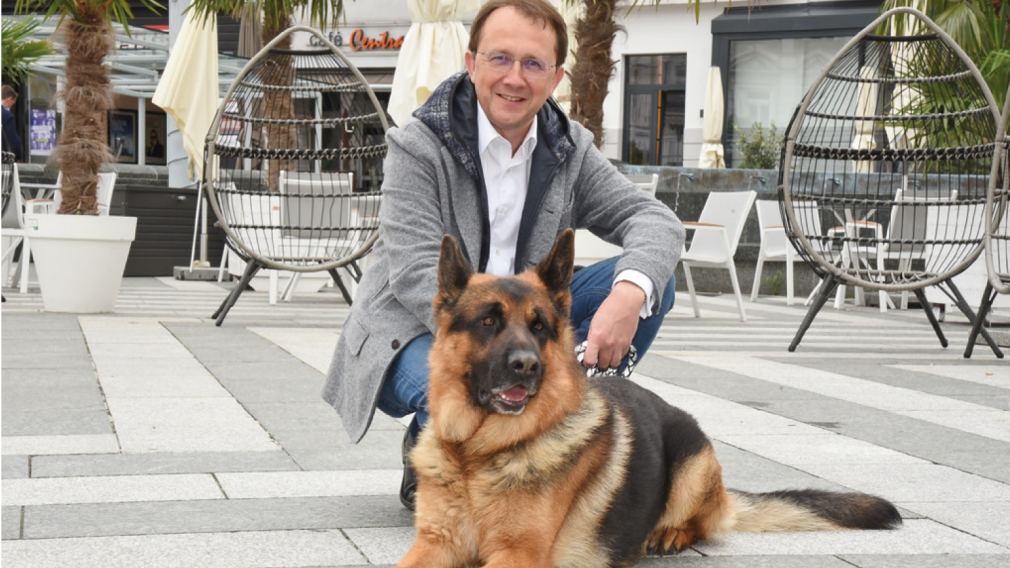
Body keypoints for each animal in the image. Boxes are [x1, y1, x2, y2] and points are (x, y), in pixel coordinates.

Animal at [397, 227, 904, 561]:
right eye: (488, 321)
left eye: (539, 327)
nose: (528, 365)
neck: (475, 455)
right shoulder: (435, 544)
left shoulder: (518, 554)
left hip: (691, 463)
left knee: (701, 522)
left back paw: (670, 535)